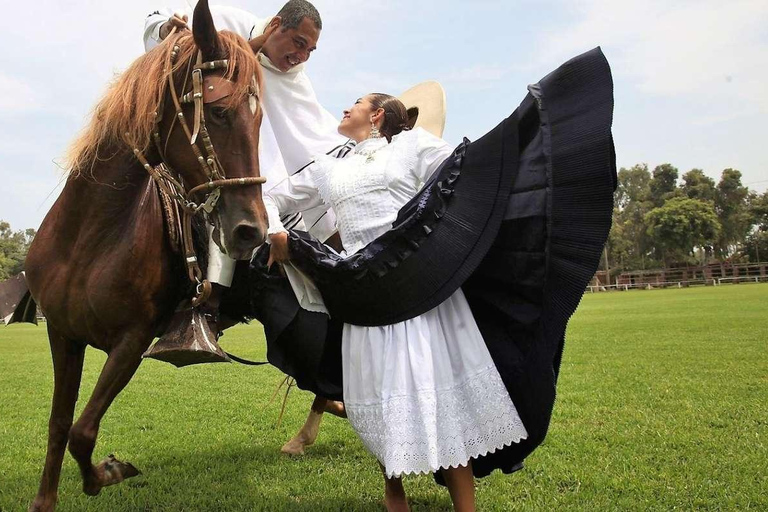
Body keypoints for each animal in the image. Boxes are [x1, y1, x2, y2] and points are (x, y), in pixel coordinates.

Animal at [24, 2, 268, 510]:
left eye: (260, 121)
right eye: (218, 111)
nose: (252, 230)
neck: (89, 237)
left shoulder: (131, 342)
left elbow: (82, 431)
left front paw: (107, 473)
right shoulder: (62, 334)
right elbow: (60, 425)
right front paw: (47, 499)